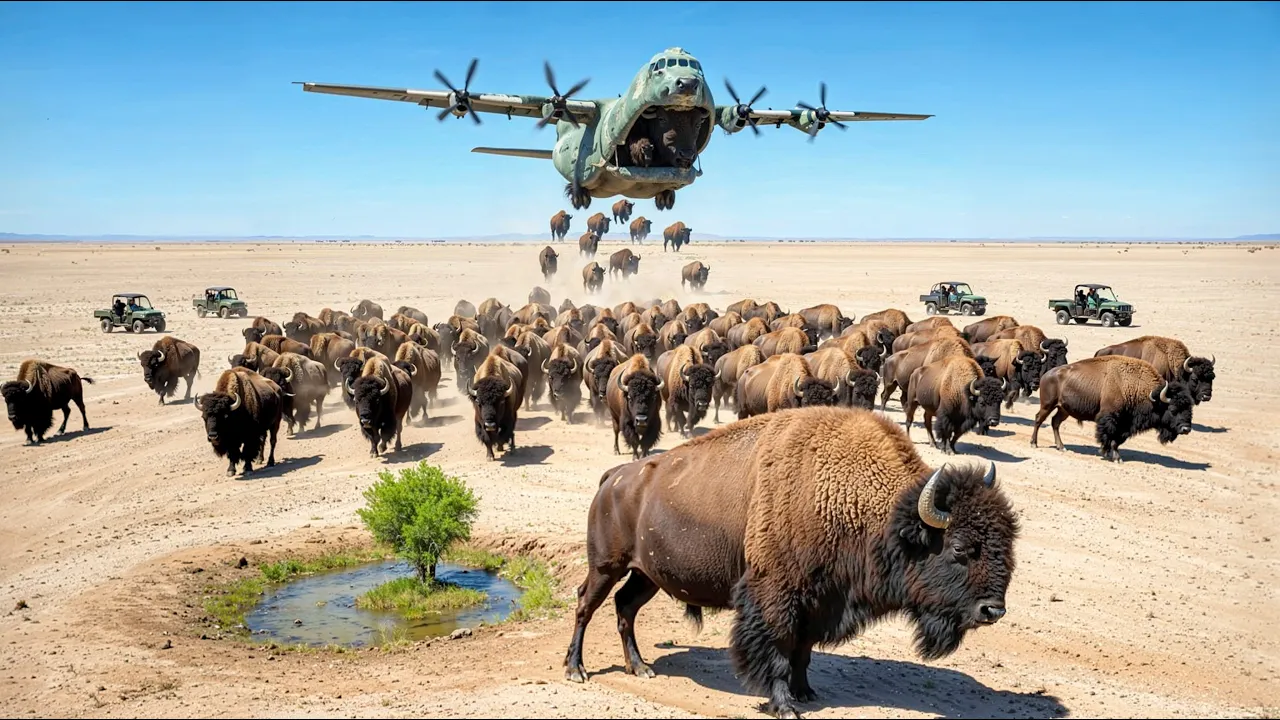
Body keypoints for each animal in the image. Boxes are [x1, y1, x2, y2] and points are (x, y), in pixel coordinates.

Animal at [564, 407, 1018, 720]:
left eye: (1006, 543)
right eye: (959, 548)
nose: (992, 610)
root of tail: (615, 477)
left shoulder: (818, 603)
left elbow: (803, 652)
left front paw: (806, 693)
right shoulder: (776, 598)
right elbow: (780, 651)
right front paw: (784, 705)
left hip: (648, 575)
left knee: (625, 608)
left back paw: (640, 668)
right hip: (607, 566)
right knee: (586, 604)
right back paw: (576, 670)